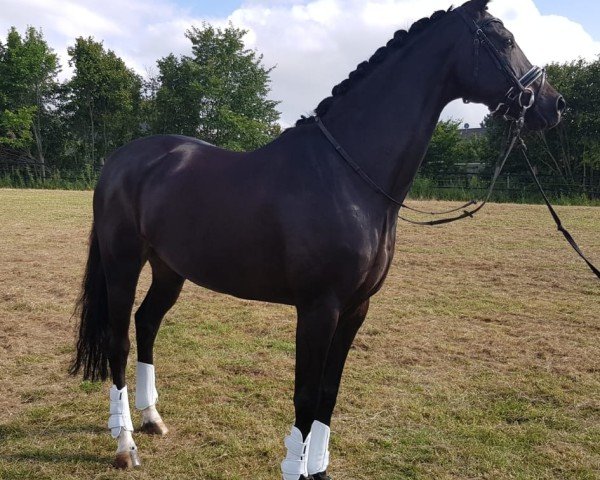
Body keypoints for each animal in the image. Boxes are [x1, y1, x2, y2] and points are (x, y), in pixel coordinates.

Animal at [70, 0, 564, 476]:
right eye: (504, 39)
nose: (554, 105)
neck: (347, 176)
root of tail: (120, 160)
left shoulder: (356, 309)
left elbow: (328, 392)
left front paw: (319, 468)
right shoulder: (318, 309)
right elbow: (305, 394)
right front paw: (295, 466)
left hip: (170, 269)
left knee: (147, 323)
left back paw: (151, 418)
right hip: (122, 263)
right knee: (118, 339)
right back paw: (125, 446)